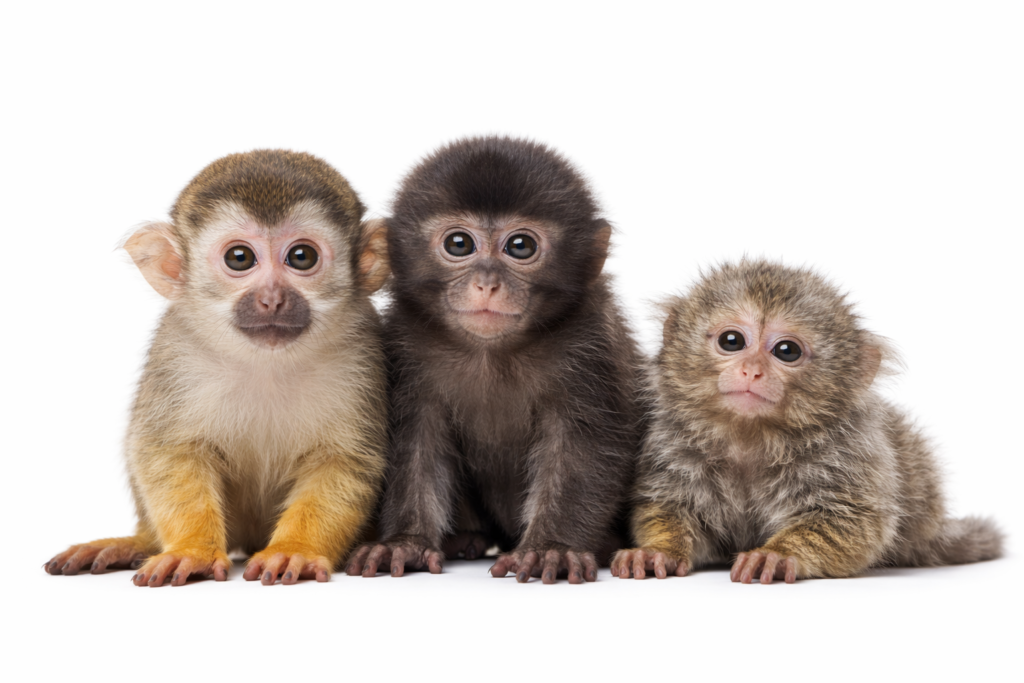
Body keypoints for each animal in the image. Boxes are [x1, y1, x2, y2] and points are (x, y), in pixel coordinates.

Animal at [43, 149, 390, 587]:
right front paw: (191, 549)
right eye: (239, 258)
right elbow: (167, 453)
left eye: (302, 257)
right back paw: (138, 542)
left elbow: (347, 463)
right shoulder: (175, 356)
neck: (267, 363)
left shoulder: (360, 359)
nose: (272, 298)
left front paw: (294, 548)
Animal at [344, 136, 646, 584]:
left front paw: (551, 548)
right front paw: (406, 542)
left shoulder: (592, 343)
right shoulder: (407, 347)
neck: (491, 353)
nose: (487, 283)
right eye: (459, 244)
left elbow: (583, 448)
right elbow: (414, 445)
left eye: (521, 246)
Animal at [612, 259, 1004, 584]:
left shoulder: (849, 457)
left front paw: (777, 555)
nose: (751, 371)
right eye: (731, 341)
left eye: (787, 351)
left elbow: (854, 524)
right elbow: (668, 512)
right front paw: (659, 550)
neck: (751, 439)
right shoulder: (672, 450)